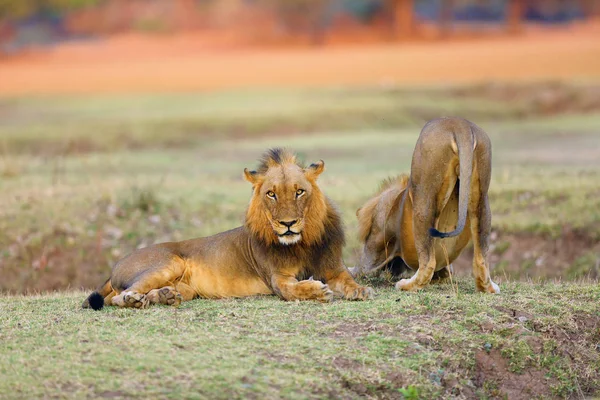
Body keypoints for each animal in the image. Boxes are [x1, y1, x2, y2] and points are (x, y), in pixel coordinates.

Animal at [83, 148, 376, 310]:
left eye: (299, 191)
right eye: (271, 194)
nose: (288, 224)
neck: (302, 242)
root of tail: (116, 265)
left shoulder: (333, 267)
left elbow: (348, 280)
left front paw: (360, 290)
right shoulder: (277, 279)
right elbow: (293, 290)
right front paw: (317, 290)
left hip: (186, 288)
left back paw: (165, 296)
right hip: (167, 263)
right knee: (117, 297)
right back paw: (135, 300)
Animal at [354, 115, 500, 294]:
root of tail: (460, 124)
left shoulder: (370, 257)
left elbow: (356, 269)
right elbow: (447, 272)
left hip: (424, 199)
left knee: (428, 264)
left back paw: (406, 285)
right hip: (481, 199)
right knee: (481, 259)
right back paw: (488, 288)